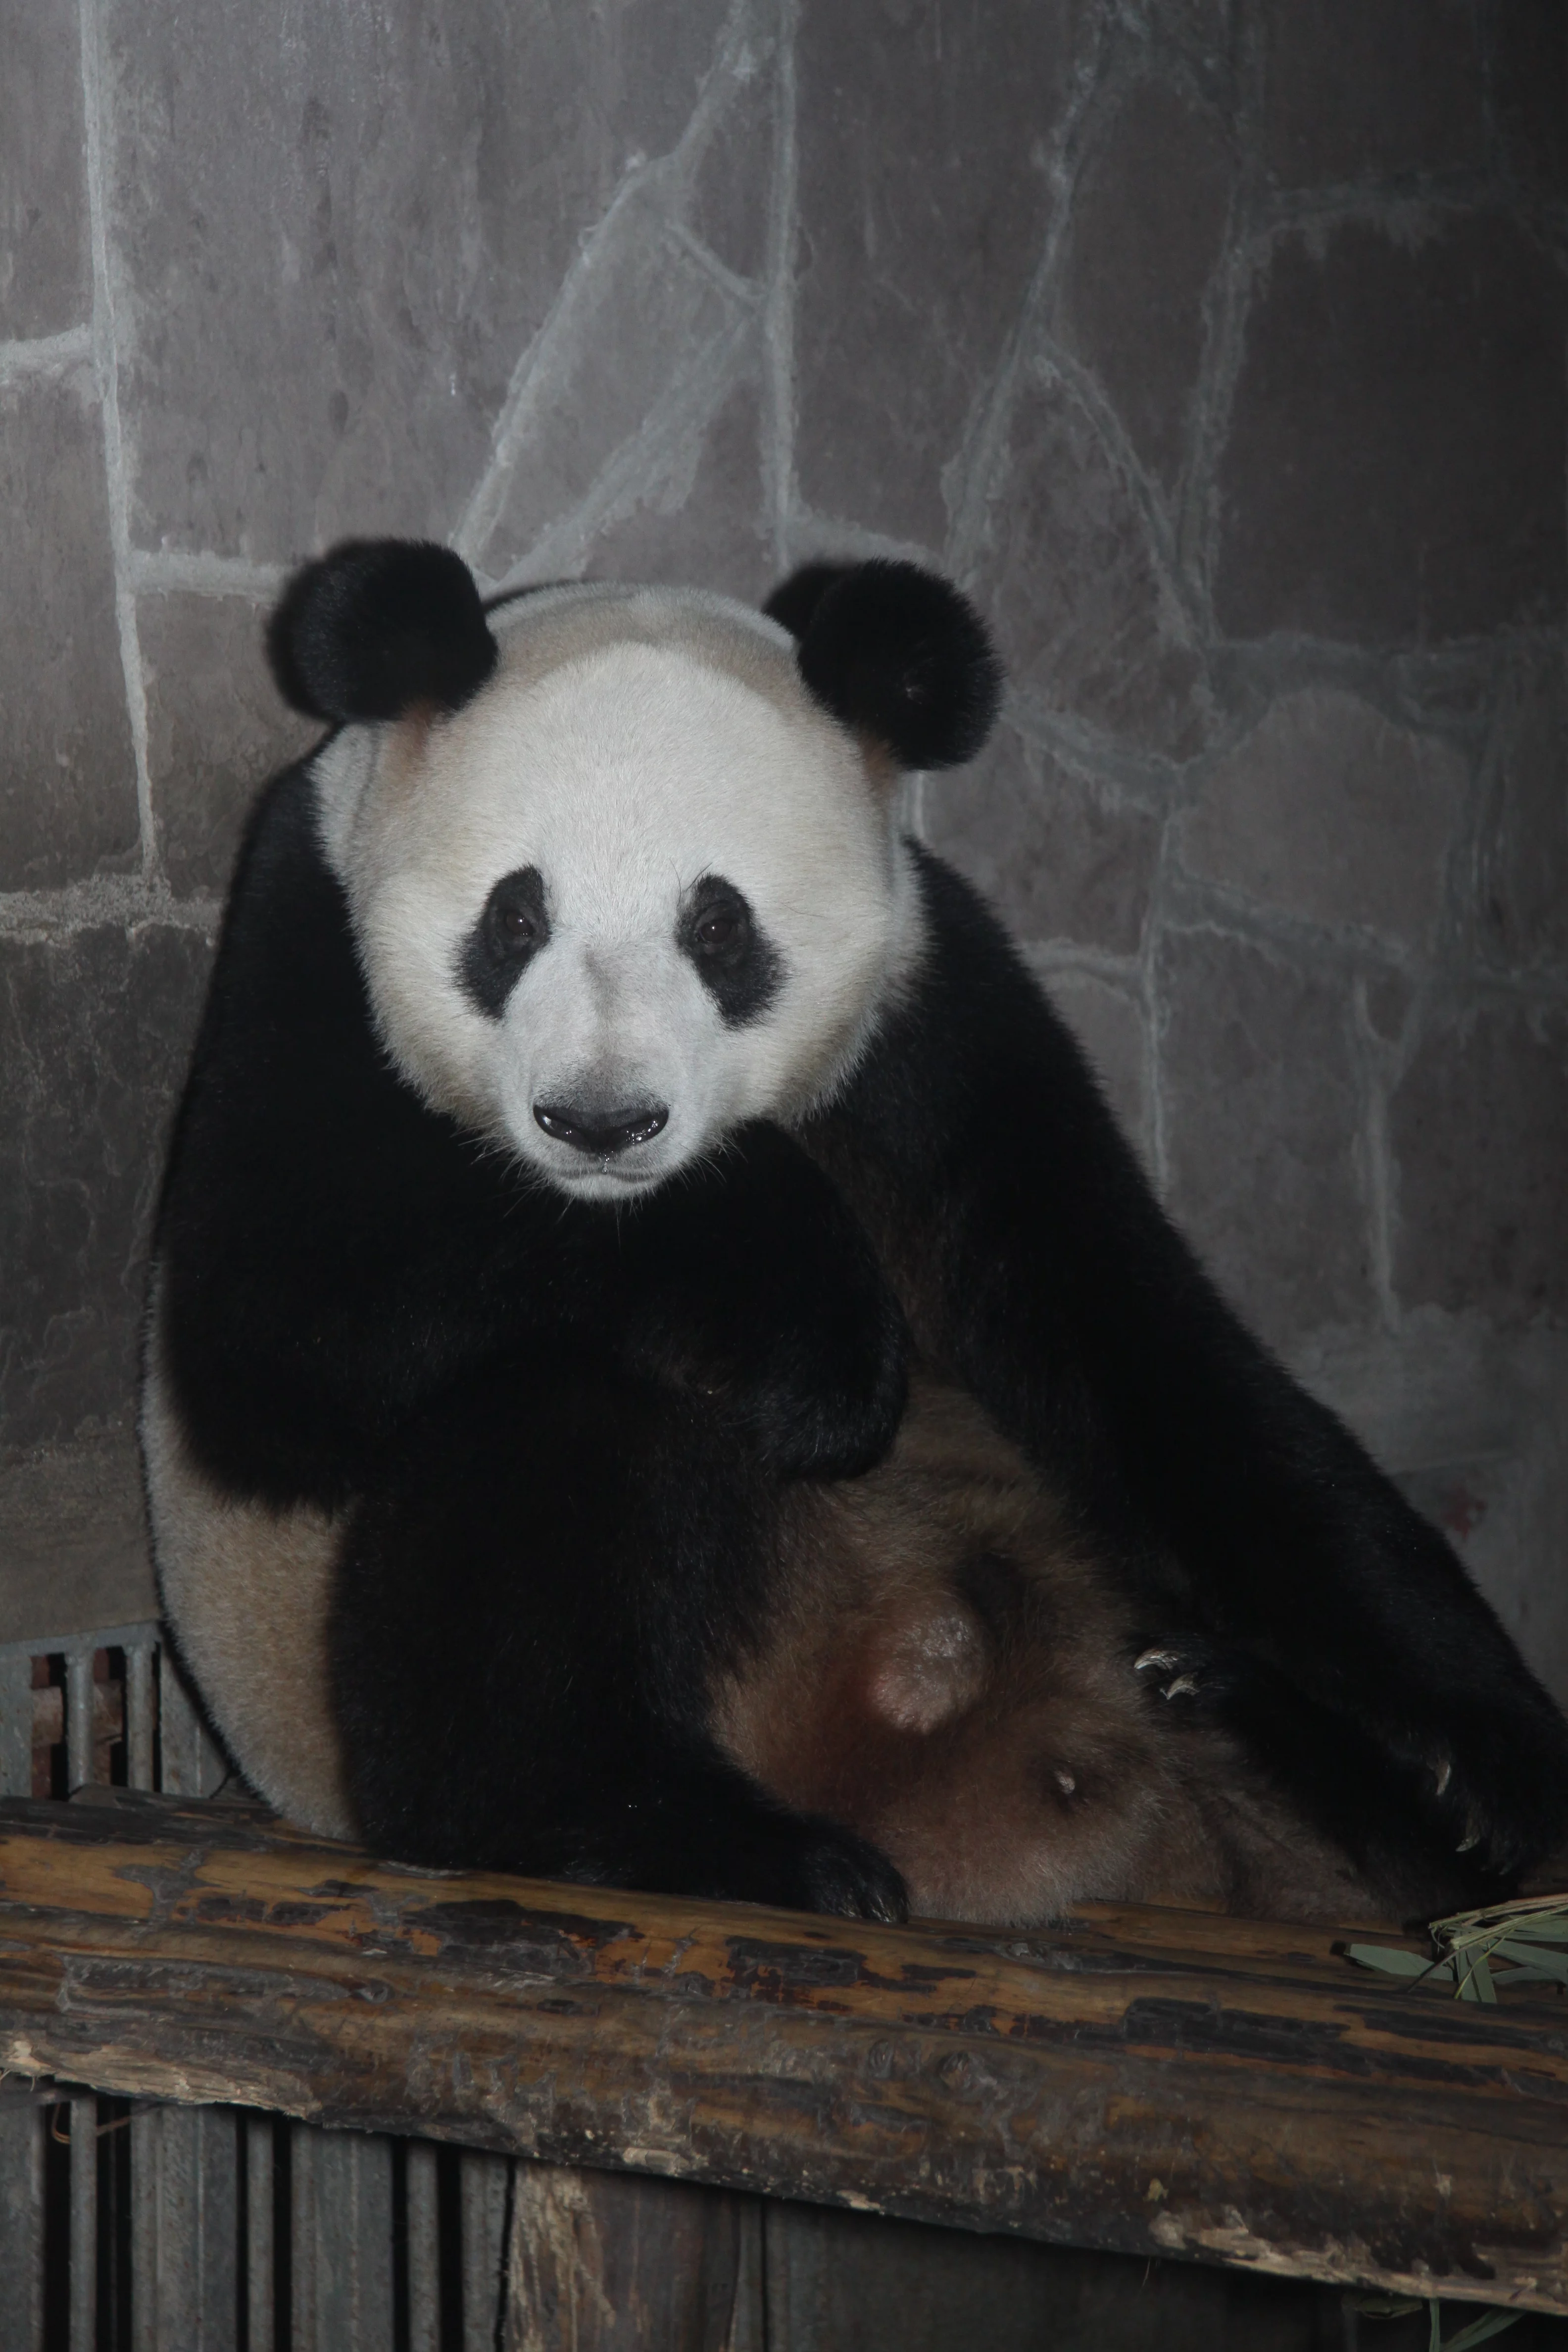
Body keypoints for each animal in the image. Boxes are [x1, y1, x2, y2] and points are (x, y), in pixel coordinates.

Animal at [141, 539, 1568, 1928]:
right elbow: (284, 1314)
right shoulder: (309, 943)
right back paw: (669, 1834)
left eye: (719, 926)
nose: (600, 1121)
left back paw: (1351, 1773)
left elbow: (1140, 1348)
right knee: (550, 1428)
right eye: (516, 916)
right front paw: (824, 1352)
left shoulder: (931, 1021)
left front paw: (1487, 1763)